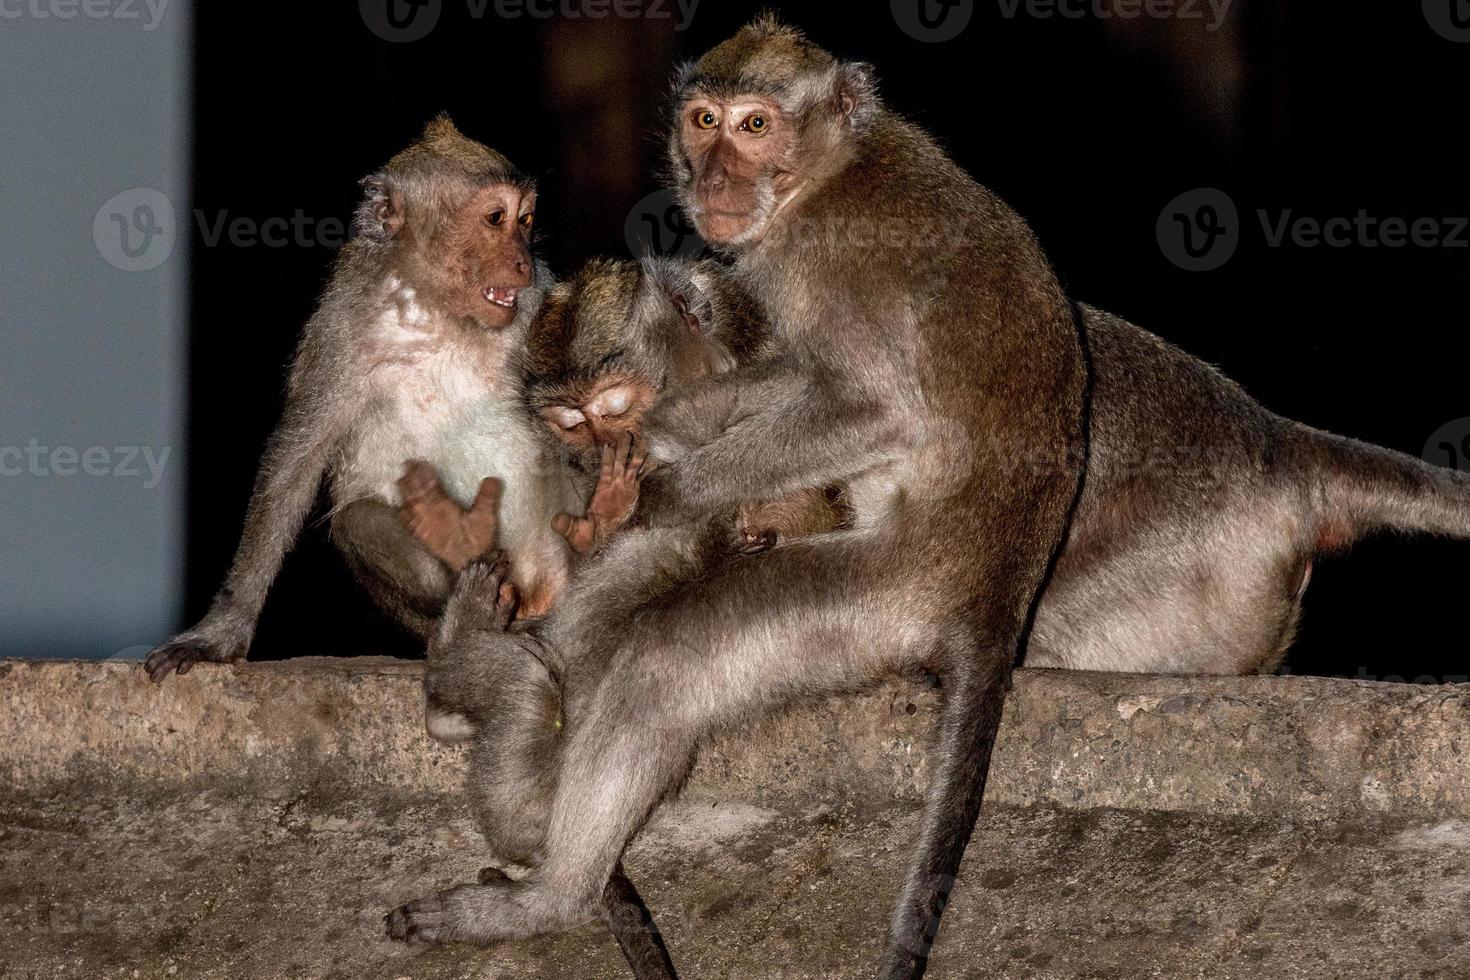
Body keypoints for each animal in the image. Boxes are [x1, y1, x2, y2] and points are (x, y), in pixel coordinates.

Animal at [140, 115, 570, 681]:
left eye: (526, 219)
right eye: (496, 219)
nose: (522, 262)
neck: (437, 310)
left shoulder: (541, 302)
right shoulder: (340, 328)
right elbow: (298, 459)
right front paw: (221, 631)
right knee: (358, 519)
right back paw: (466, 608)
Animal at [385, 21, 1087, 980]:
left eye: (755, 125)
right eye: (705, 119)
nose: (713, 176)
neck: (834, 170)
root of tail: (994, 597)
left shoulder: (819, 262)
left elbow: (874, 411)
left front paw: (654, 486)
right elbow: (785, 371)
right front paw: (658, 434)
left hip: (862, 606)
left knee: (666, 660)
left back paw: (549, 891)